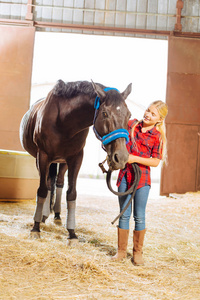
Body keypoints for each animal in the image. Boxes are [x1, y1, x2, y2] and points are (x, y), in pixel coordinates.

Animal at [19, 79, 132, 239]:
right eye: (105, 113)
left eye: (129, 114)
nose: (121, 157)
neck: (63, 121)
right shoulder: (43, 156)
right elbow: (42, 189)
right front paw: (36, 227)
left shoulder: (76, 158)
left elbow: (71, 193)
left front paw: (72, 233)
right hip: (43, 160)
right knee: (48, 183)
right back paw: (43, 216)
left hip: (62, 162)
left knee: (58, 183)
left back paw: (56, 215)